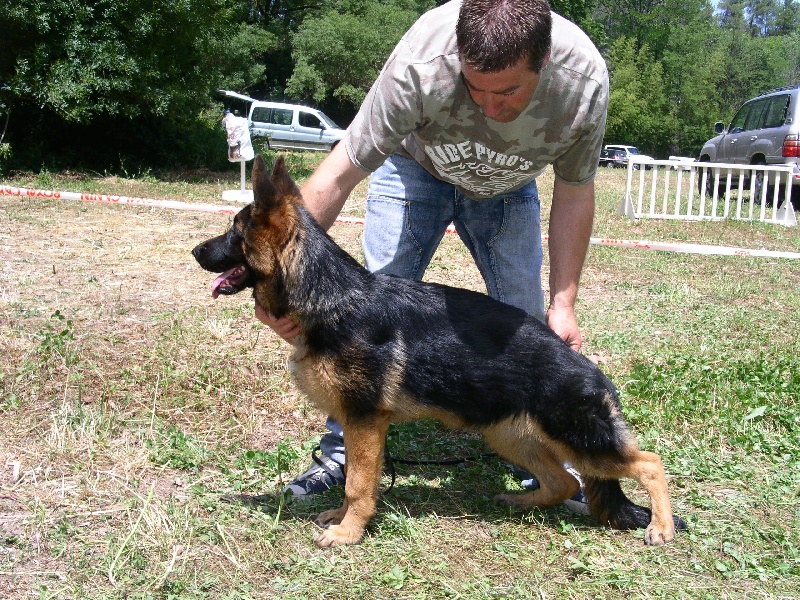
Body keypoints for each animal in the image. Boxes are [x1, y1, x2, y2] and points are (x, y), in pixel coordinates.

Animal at [191, 156, 684, 548]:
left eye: (233, 233)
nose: (196, 251)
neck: (333, 295)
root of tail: (593, 374)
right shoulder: (357, 423)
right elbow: (353, 477)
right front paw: (343, 520)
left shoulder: (364, 421)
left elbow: (357, 485)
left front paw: (348, 532)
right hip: (509, 436)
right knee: (562, 481)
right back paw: (520, 501)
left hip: (579, 439)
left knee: (649, 464)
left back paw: (661, 527)